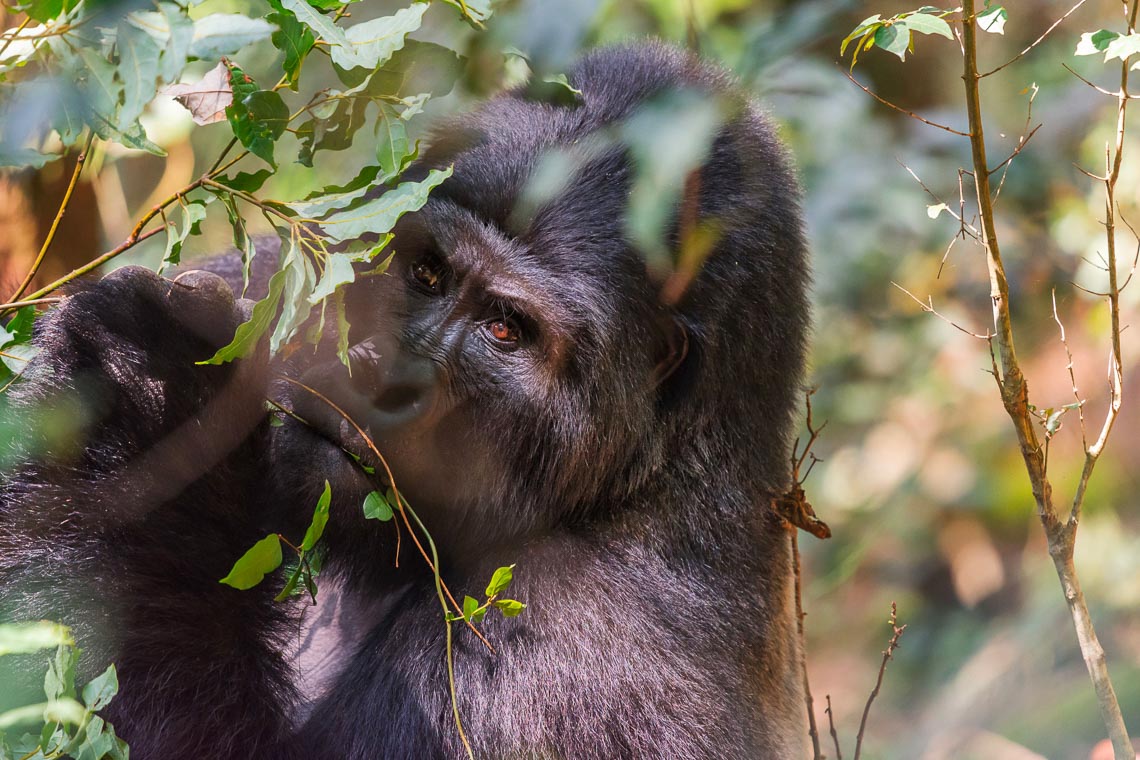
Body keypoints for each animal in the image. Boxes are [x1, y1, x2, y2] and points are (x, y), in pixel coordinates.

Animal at [0, 43, 811, 760]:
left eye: (505, 329)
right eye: (426, 272)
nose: (379, 374)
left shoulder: (568, 643)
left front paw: (145, 410)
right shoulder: (275, 279)